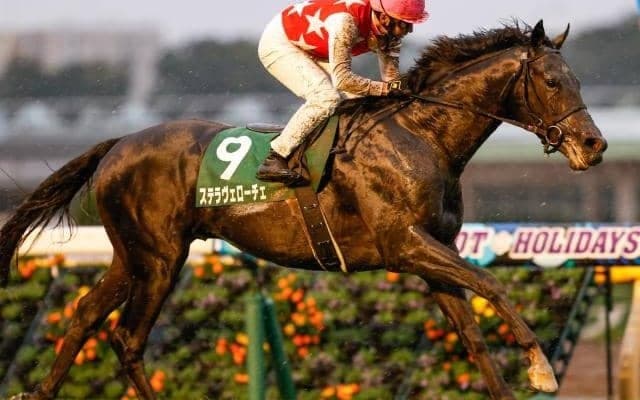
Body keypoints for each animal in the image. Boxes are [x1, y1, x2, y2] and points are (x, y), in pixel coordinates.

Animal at [0, 20, 607, 400]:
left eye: (578, 79)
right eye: (551, 81)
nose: (595, 144)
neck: (421, 135)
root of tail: (119, 143)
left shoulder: (432, 256)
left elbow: (474, 337)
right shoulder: (405, 245)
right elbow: (494, 284)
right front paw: (541, 370)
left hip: (132, 256)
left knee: (84, 315)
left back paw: (40, 390)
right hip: (159, 259)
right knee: (127, 338)